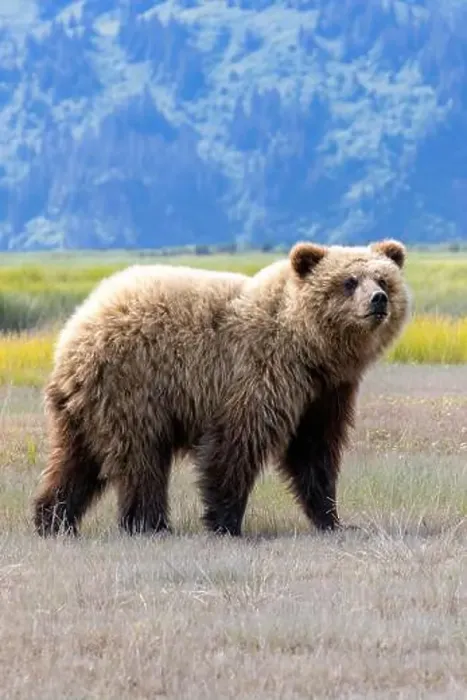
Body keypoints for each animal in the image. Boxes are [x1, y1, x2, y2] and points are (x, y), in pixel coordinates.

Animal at [33, 239, 410, 538]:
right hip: (132, 388)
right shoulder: (256, 373)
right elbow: (236, 446)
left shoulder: (325, 394)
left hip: (83, 408)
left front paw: (333, 519)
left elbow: (314, 453)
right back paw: (150, 524)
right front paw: (226, 522)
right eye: (349, 281)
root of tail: (76, 327)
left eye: (383, 278)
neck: (310, 350)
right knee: (141, 459)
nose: (378, 299)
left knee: (75, 461)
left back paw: (52, 519)